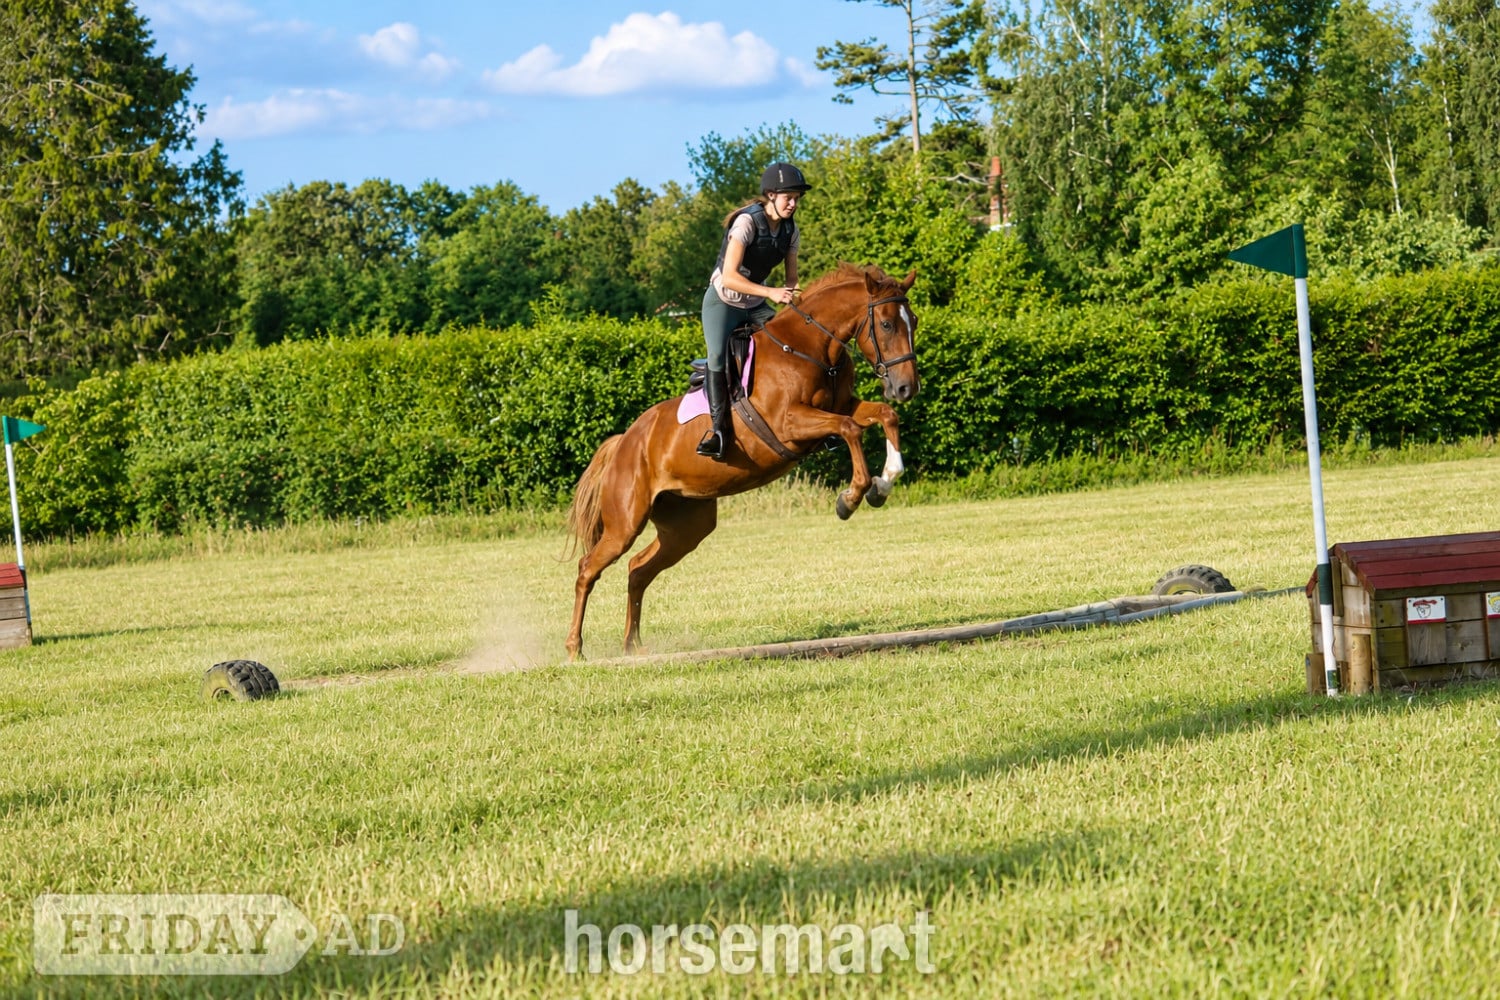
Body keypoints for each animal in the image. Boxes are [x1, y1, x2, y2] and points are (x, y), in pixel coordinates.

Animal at [564, 262, 920, 660]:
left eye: (915, 321)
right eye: (886, 324)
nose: (907, 387)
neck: (810, 347)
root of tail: (624, 442)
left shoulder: (841, 406)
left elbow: (885, 415)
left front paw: (883, 484)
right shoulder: (790, 423)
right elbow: (850, 429)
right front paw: (851, 497)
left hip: (686, 525)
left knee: (639, 569)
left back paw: (633, 646)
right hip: (625, 522)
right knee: (588, 568)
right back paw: (575, 648)